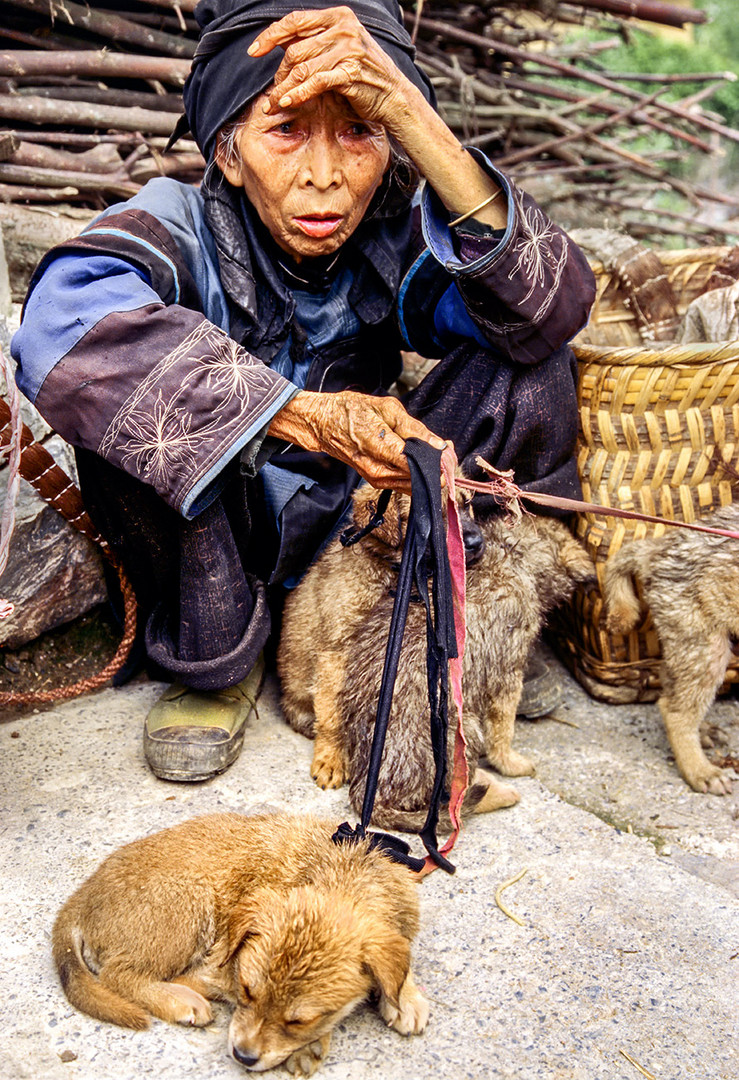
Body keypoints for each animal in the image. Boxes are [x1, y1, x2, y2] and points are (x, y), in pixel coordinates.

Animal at [51, 816, 427, 1071]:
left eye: (300, 1021)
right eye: (247, 991)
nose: (243, 1057)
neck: (344, 871)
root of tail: (81, 897)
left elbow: (397, 962)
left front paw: (405, 999)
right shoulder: (219, 967)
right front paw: (311, 1045)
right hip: (190, 902)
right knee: (119, 976)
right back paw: (180, 1001)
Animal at [276, 486, 484, 790]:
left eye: (467, 504)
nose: (477, 542)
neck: (391, 576)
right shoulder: (337, 654)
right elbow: (333, 714)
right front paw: (332, 758)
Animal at [605, 503, 734, 794]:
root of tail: (657, 549)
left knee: (670, 686)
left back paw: (703, 731)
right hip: (707, 648)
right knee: (674, 711)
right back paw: (701, 770)